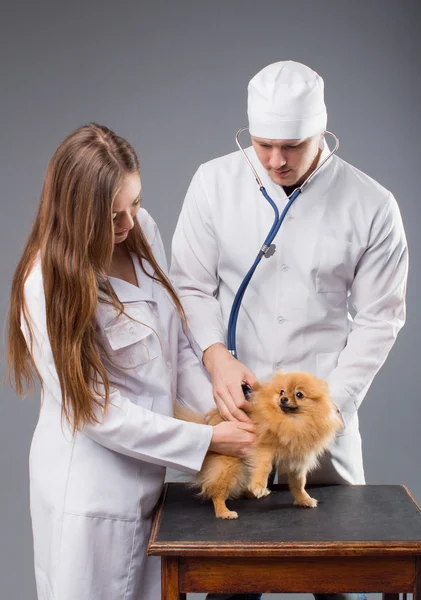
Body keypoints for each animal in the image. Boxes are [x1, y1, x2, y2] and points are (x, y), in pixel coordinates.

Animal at [176, 370, 342, 516]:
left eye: (299, 394)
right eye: (282, 392)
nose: (283, 399)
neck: (292, 422)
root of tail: (211, 425)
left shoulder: (298, 460)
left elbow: (298, 483)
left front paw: (303, 499)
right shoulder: (263, 449)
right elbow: (264, 467)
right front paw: (258, 486)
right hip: (228, 466)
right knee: (217, 493)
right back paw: (224, 512)